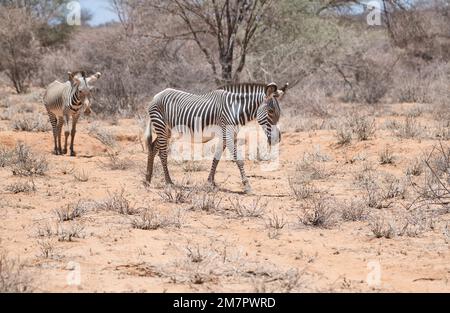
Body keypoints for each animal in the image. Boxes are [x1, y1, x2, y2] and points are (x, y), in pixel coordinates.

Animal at [146, 81, 290, 191]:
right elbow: (238, 159)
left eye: (278, 113)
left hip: (166, 130)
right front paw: (247, 185)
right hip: (161, 126)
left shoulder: (226, 135)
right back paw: (168, 182)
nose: (277, 139)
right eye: (271, 111)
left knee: (152, 147)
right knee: (162, 153)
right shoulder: (228, 134)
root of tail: (156, 95)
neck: (235, 110)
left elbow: (216, 158)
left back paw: (147, 179)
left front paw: (210, 182)